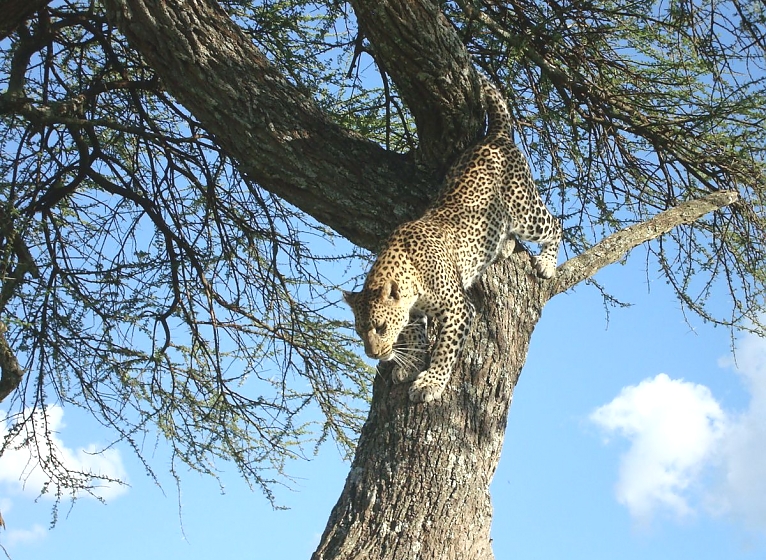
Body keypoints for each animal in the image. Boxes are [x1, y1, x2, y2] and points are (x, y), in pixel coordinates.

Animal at [344, 76, 562, 403]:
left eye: (380, 327)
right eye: (359, 332)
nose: (373, 355)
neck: (412, 278)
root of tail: (495, 135)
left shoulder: (458, 308)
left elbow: (445, 349)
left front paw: (430, 382)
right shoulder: (412, 311)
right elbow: (414, 334)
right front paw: (410, 363)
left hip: (525, 209)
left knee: (556, 224)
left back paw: (547, 263)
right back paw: (505, 245)